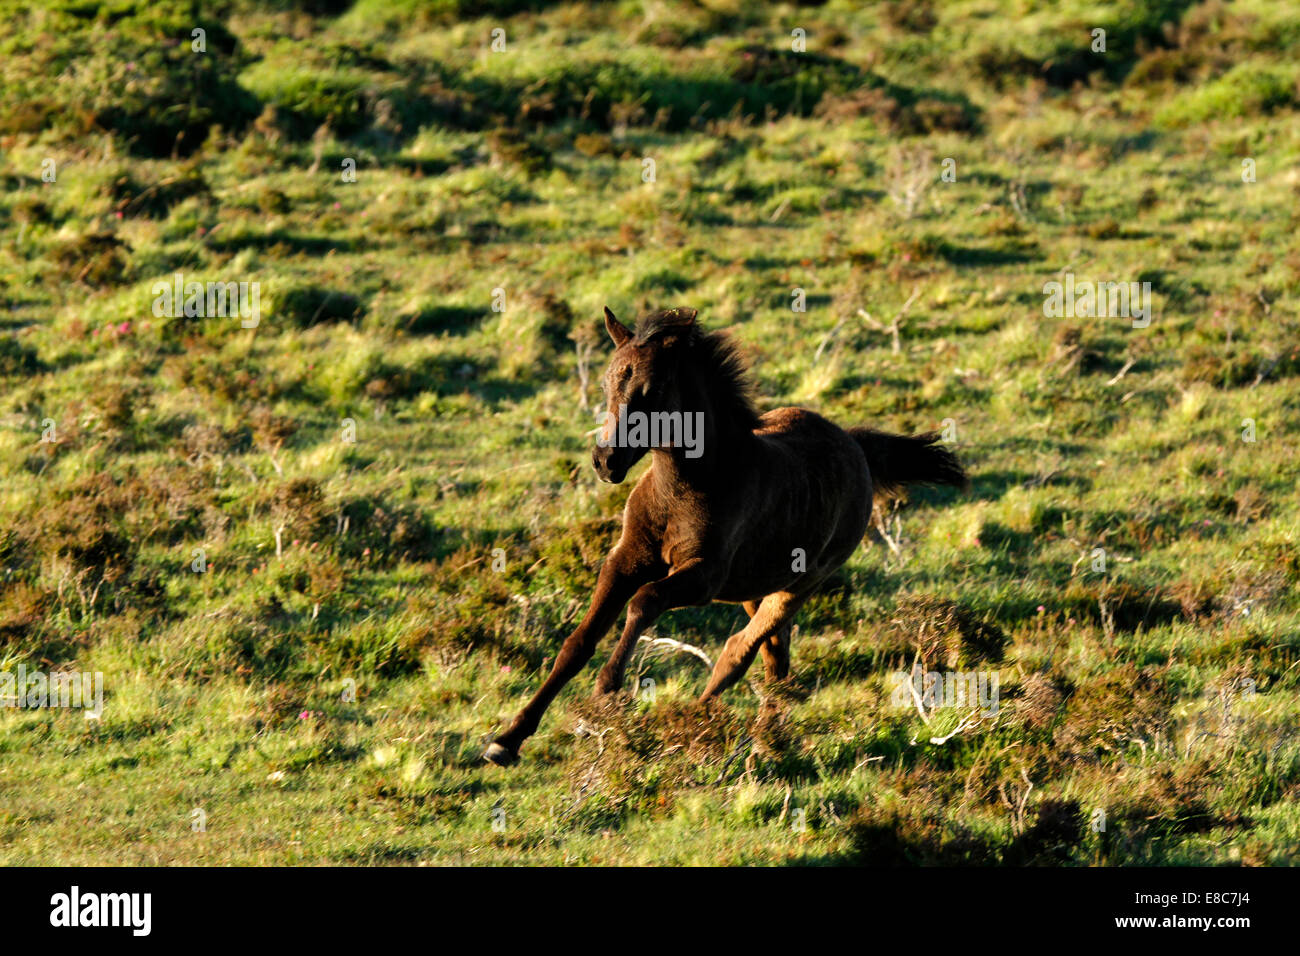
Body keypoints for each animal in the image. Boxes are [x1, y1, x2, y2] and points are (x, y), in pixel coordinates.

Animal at [486, 310, 967, 764]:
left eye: (652, 389)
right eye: (607, 382)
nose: (606, 461)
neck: (685, 487)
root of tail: (856, 446)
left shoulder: (702, 577)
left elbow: (644, 601)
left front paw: (608, 686)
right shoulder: (626, 558)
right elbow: (577, 642)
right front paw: (505, 741)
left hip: (799, 585)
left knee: (740, 651)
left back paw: (703, 725)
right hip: (754, 588)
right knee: (776, 657)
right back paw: (764, 735)